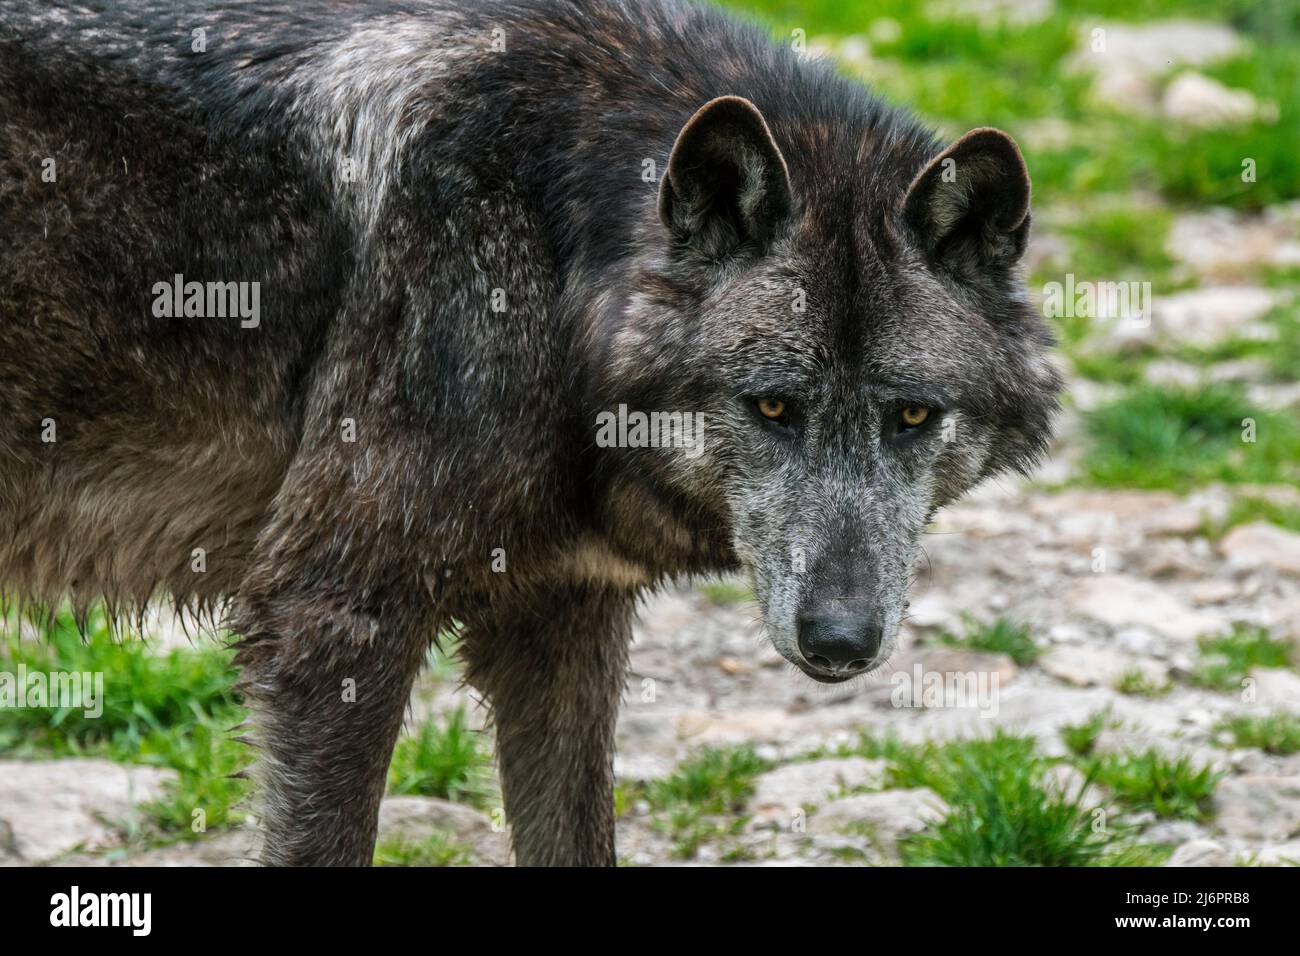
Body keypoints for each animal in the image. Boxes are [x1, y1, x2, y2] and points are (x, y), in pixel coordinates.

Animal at [0, 0, 1055, 868]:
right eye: (771, 408)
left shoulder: (564, 620)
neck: (555, 258)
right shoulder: (329, 623)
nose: (839, 640)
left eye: (911, 415)